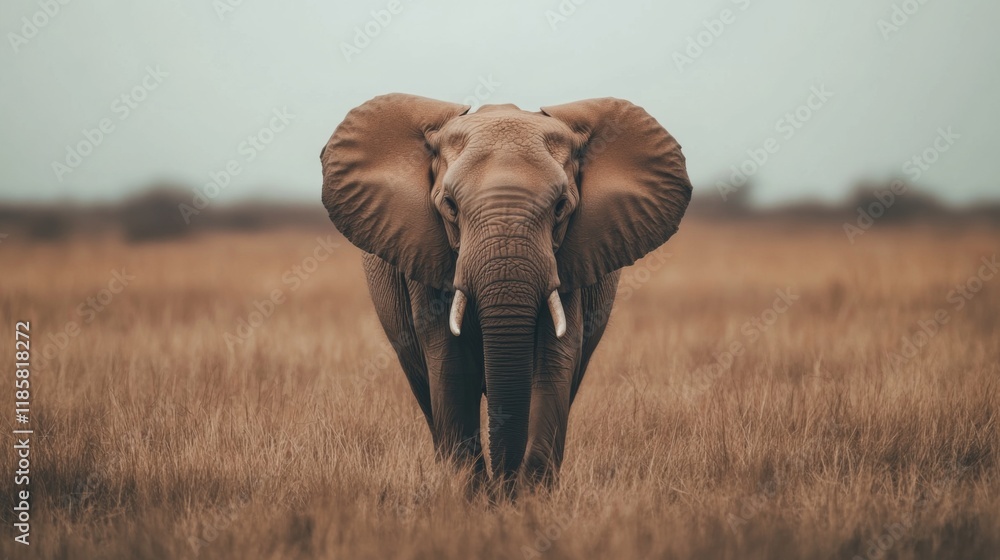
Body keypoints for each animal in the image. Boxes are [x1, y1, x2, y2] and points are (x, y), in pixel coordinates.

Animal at [320, 94, 691, 492]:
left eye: (561, 207)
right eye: (450, 206)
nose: (503, 487)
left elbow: (555, 359)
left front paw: (528, 497)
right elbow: (449, 364)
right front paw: (472, 494)